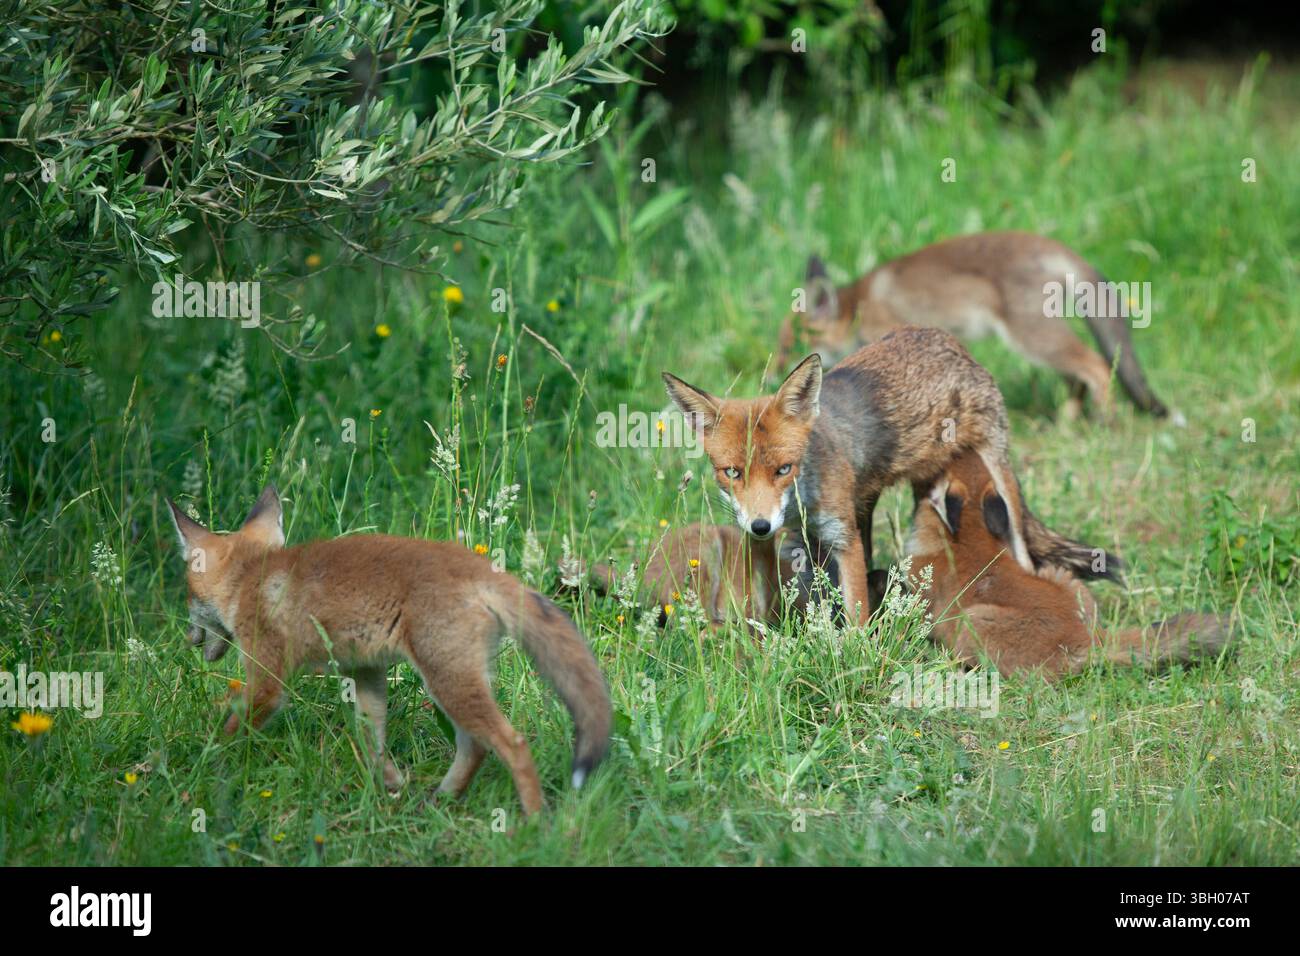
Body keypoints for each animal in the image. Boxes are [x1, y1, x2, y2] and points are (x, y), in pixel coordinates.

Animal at [165, 485, 610, 816]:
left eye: (186, 598)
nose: (187, 640)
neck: (250, 577)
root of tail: (480, 567)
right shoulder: (367, 672)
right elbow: (371, 742)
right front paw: (391, 783)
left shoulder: (268, 684)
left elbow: (228, 733)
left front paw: (202, 767)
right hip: (457, 683)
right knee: (476, 747)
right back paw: (439, 802)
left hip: (446, 682)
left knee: (512, 744)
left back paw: (534, 823)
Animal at [663, 327, 1121, 625]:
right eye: (732, 472)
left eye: (783, 469)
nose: (760, 525)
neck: (801, 505)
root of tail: (944, 338)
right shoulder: (780, 538)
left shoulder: (843, 538)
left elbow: (856, 616)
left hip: (997, 474)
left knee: (1021, 546)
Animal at [775, 231, 1171, 419]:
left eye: (790, 347)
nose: (774, 376)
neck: (858, 306)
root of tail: (1053, 246)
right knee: (1077, 379)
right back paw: (1066, 424)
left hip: (1033, 338)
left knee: (1097, 367)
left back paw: (1106, 423)